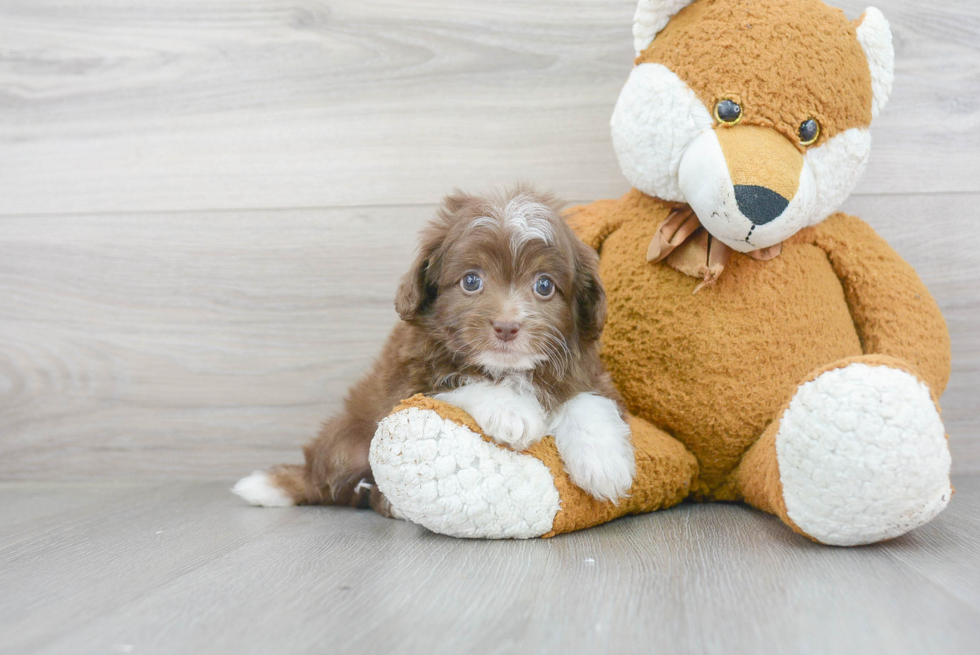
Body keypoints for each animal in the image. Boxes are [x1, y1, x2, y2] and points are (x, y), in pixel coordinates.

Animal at [235, 186, 636, 512]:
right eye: (471, 281)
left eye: (545, 286)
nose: (507, 327)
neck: (506, 368)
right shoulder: (407, 384)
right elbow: (461, 382)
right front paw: (511, 411)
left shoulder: (585, 368)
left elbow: (586, 399)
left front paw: (604, 463)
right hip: (347, 443)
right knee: (340, 486)